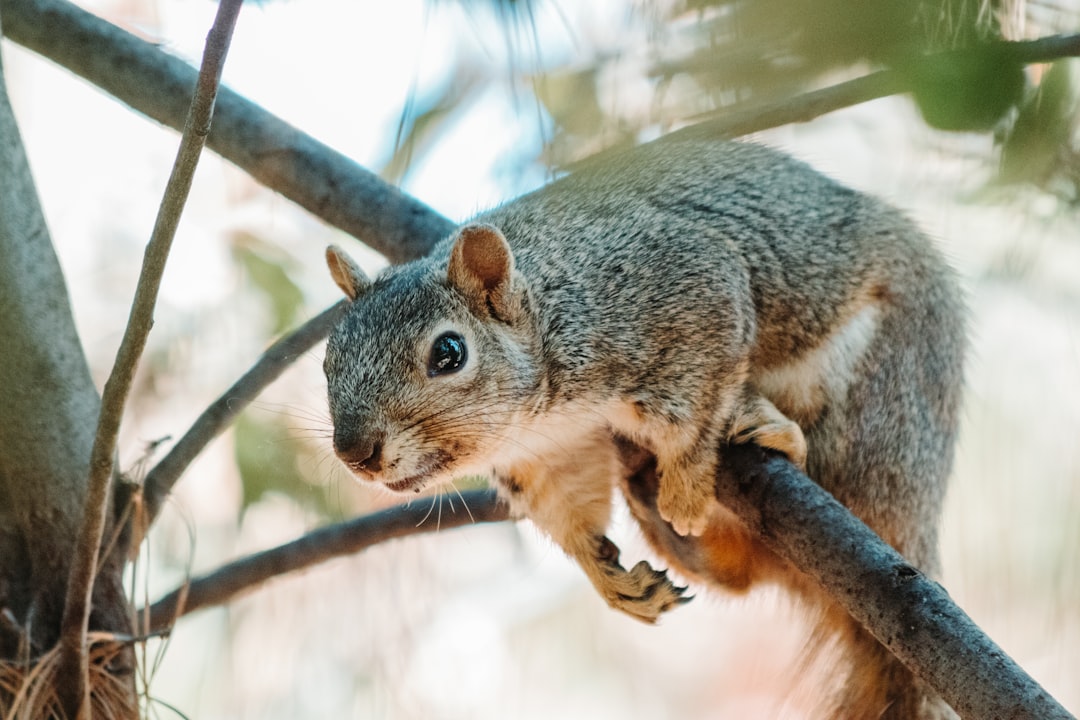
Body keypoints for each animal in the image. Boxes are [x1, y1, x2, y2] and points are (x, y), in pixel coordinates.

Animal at [324, 136, 967, 720]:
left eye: (449, 353)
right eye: (328, 359)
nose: (355, 451)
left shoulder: (682, 290)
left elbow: (698, 402)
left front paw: (685, 484)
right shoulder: (551, 451)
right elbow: (568, 503)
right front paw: (604, 575)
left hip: (882, 406)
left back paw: (764, 437)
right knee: (741, 574)